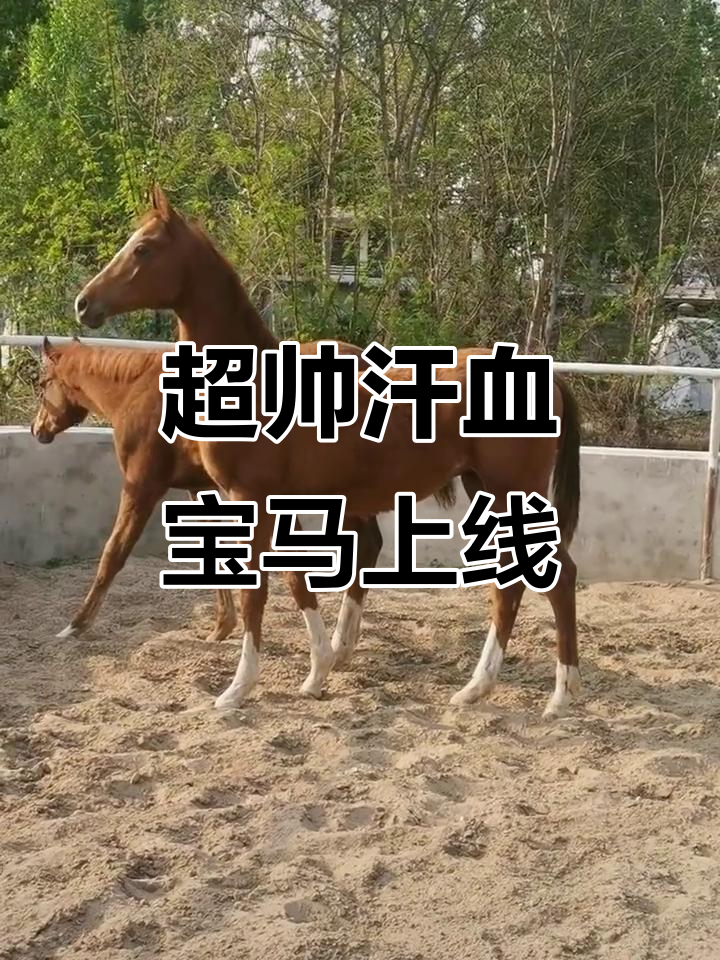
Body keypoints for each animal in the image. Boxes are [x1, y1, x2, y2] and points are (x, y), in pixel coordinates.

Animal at [30, 337, 397, 687]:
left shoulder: (142, 485)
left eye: (43, 382)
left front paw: (75, 626)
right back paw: (343, 646)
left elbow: (114, 553)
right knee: (369, 544)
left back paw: (338, 646)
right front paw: (222, 626)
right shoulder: (199, 486)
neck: (136, 392)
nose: (37, 430)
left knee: (366, 545)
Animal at [75, 185, 582, 718]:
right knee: (514, 583)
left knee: (556, 577)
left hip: (511, 492)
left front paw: (238, 689)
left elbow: (256, 590)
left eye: (143, 249)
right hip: (486, 489)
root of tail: (546, 374)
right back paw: (478, 688)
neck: (259, 382)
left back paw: (557, 695)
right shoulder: (277, 505)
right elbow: (296, 580)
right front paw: (318, 671)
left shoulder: (251, 500)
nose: (84, 303)